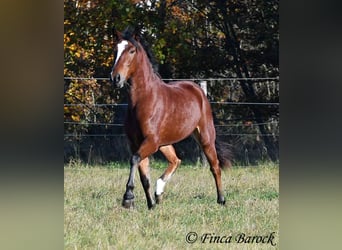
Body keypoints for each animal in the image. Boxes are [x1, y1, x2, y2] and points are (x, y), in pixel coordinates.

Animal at [109, 27, 232, 210]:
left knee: (215, 166)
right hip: (165, 144)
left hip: (205, 137)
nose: (115, 78)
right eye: (115, 50)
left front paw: (128, 198)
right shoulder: (137, 143)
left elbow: (134, 160)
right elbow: (144, 176)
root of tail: (198, 90)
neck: (143, 100)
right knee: (176, 160)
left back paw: (221, 199)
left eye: (131, 50)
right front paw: (151, 205)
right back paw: (159, 192)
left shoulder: (150, 141)